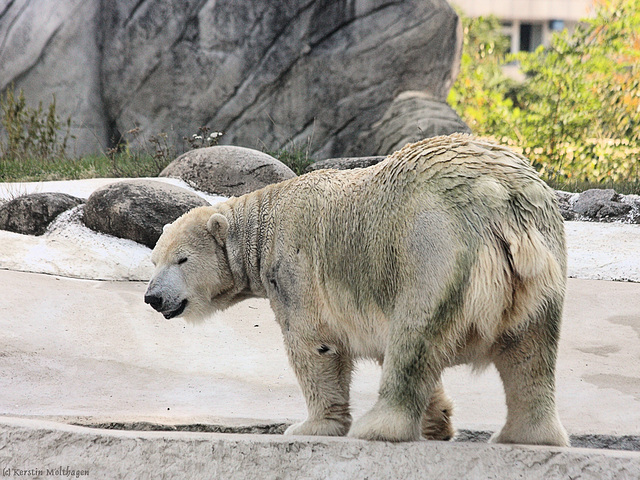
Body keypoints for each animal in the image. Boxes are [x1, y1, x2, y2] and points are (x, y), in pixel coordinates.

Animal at [146, 132, 568, 446]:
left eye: (181, 259)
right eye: (154, 260)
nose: (153, 297)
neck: (262, 229)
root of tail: (499, 199)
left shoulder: (297, 269)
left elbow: (313, 344)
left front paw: (310, 426)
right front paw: (439, 421)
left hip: (430, 248)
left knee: (415, 335)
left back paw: (378, 426)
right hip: (542, 253)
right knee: (530, 351)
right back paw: (525, 434)